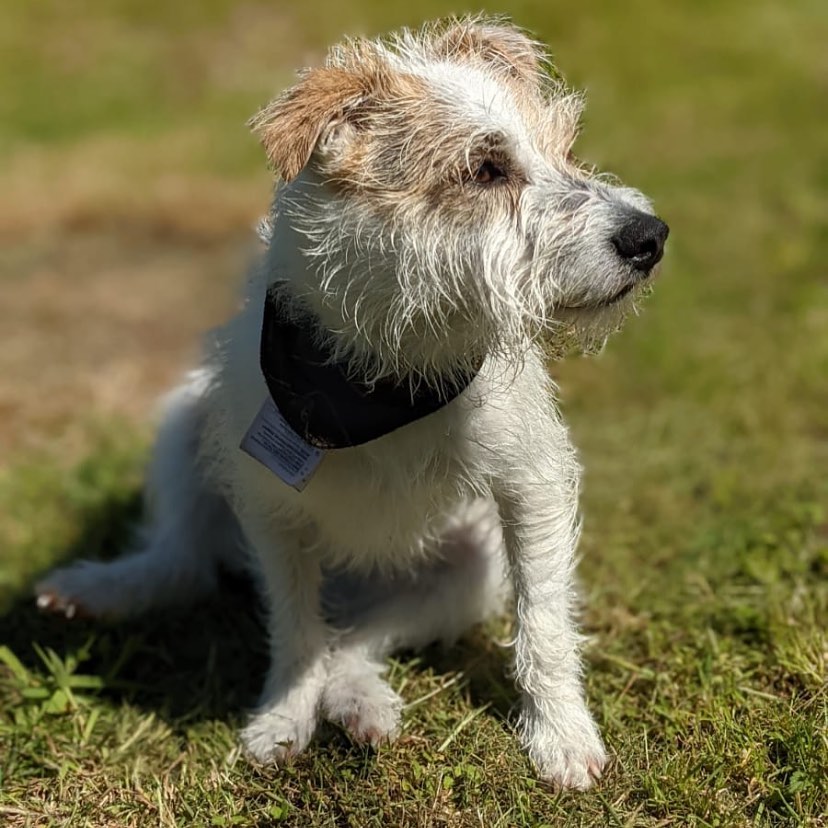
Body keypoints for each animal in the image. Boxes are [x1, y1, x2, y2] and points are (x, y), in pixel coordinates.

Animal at [37, 17, 668, 788]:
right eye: (486, 169)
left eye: (566, 148)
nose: (649, 237)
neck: (392, 361)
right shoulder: (270, 507)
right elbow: (295, 631)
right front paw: (283, 717)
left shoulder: (532, 486)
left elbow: (544, 623)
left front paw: (561, 736)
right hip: (185, 422)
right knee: (187, 562)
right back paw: (105, 590)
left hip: (467, 571)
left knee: (359, 638)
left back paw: (362, 704)